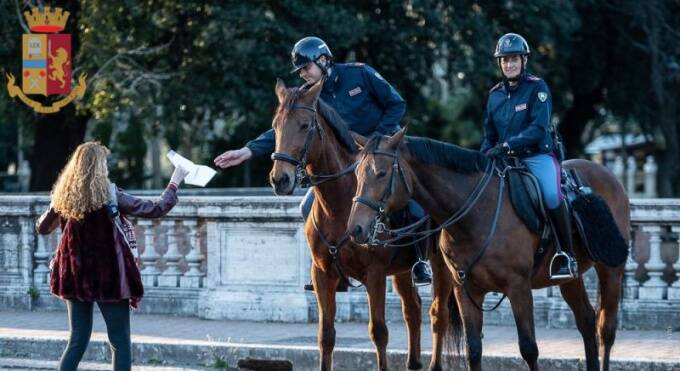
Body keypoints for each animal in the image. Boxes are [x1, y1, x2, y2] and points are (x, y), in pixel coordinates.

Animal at [268, 79, 454, 371]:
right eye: (275, 125)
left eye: (305, 125)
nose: (280, 179)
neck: (338, 205)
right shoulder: (322, 275)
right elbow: (326, 335)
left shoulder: (374, 274)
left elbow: (379, 332)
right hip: (402, 271)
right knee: (412, 310)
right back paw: (413, 362)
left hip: (440, 265)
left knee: (438, 315)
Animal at [348, 129, 628, 371]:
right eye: (357, 174)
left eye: (381, 173)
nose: (356, 228)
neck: (474, 214)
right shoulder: (465, 289)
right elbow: (473, 349)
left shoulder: (518, 287)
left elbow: (529, 349)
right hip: (569, 278)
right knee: (586, 320)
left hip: (611, 270)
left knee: (606, 329)